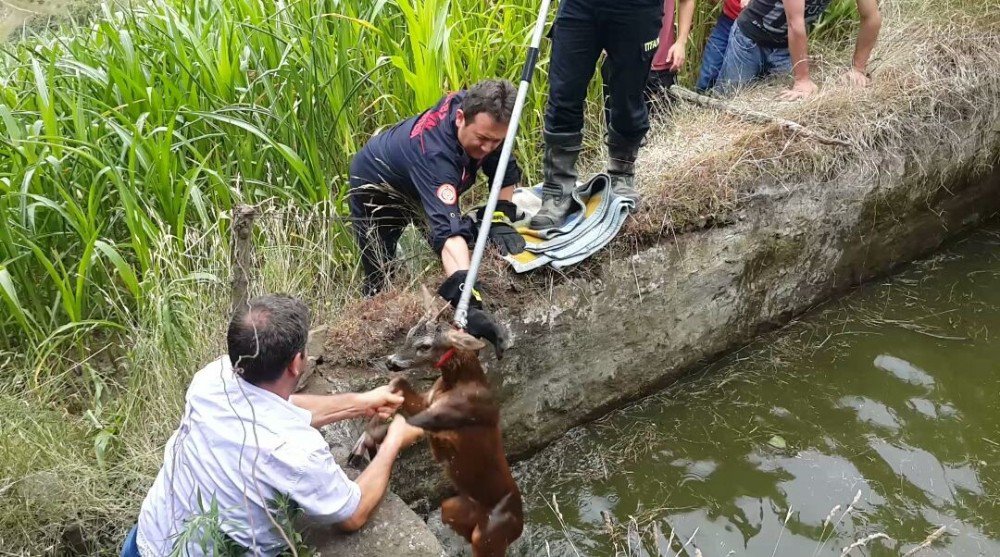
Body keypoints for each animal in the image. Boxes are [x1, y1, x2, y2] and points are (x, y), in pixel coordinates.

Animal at [350, 286, 524, 556]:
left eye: (425, 346)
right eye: (409, 333)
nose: (390, 362)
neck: (459, 383)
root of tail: (520, 526)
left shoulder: (451, 416)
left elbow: (416, 422)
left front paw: (372, 435)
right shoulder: (428, 400)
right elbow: (398, 385)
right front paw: (366, 437)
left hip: (489, 536)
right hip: (452, 508)